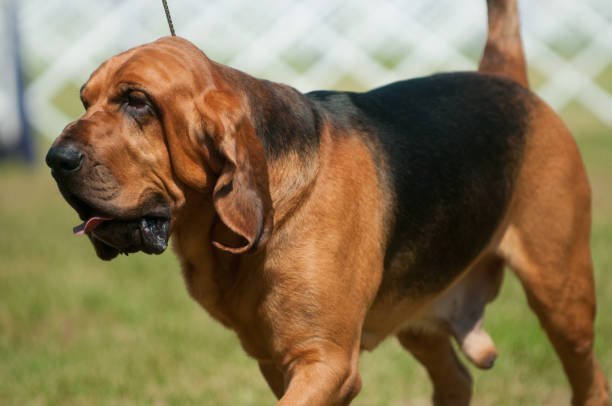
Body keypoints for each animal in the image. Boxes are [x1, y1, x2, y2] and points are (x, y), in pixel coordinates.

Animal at [46, 0, 608, 402]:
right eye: (84, 101)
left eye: (137, 101)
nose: (55, 158)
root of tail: (504, 79)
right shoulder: (278, 363)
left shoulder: (325, 362)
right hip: (418, 314)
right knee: (456, 380)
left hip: (563, 297)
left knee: (590, 380)